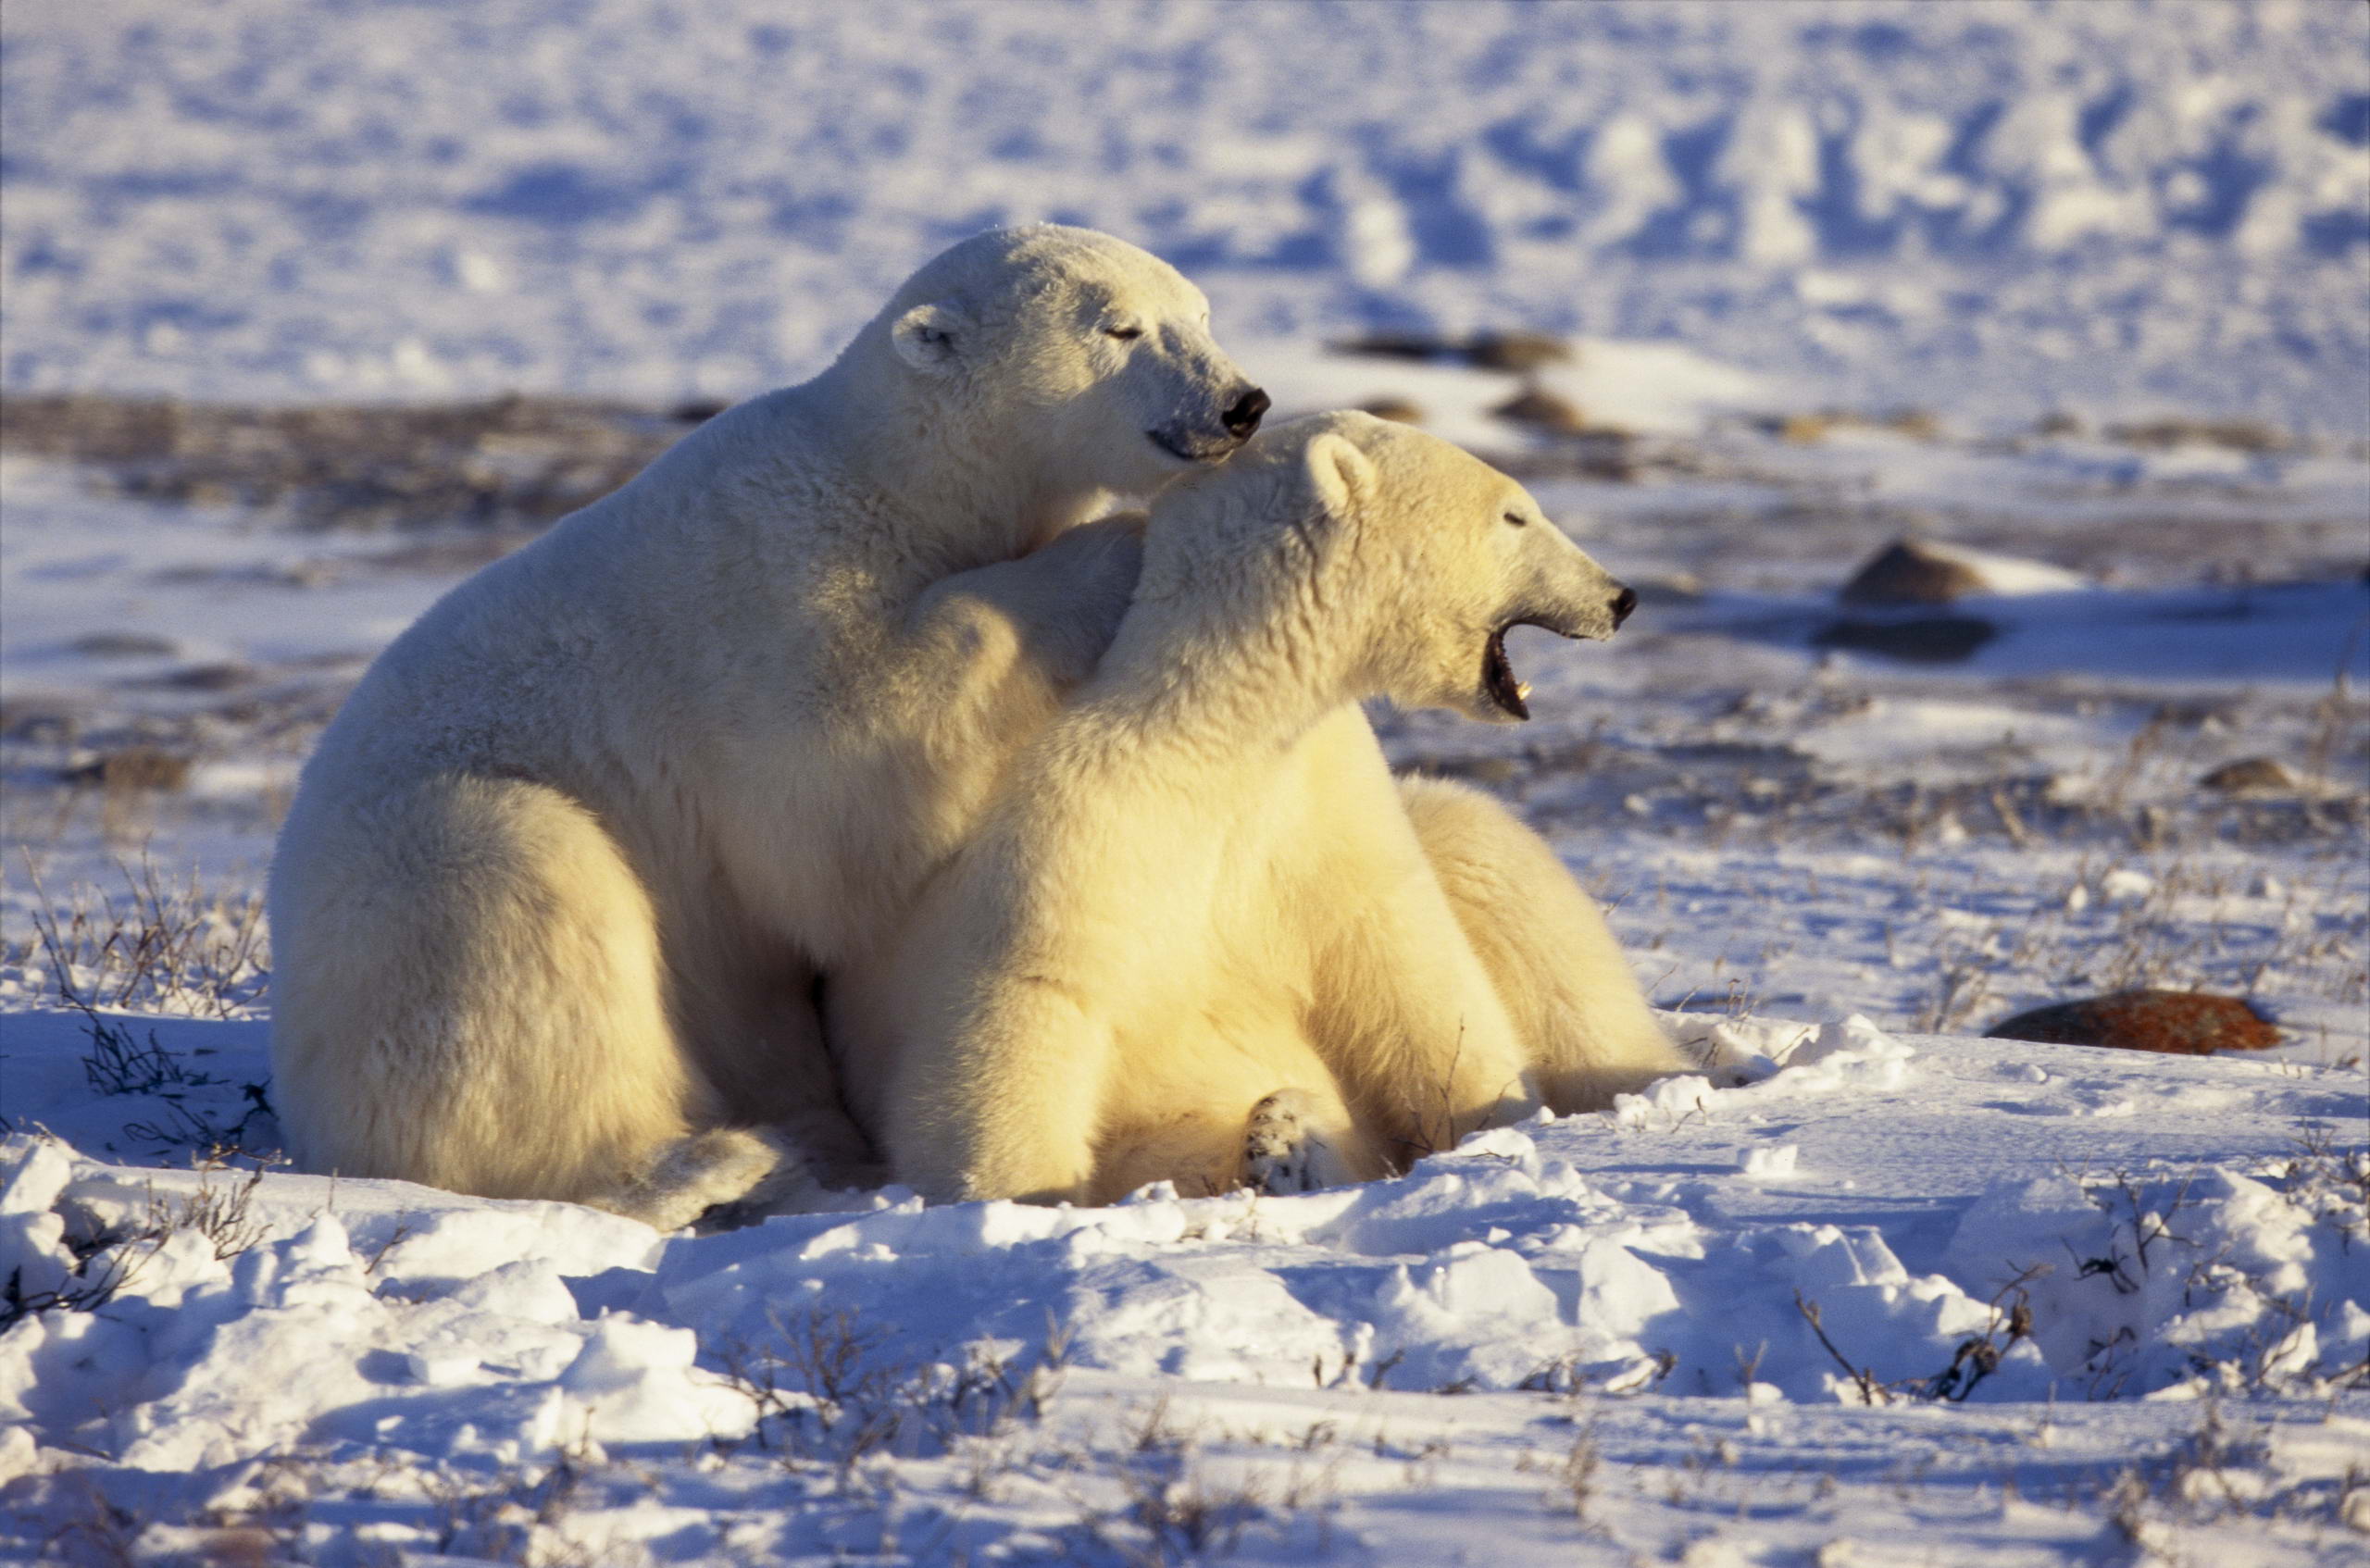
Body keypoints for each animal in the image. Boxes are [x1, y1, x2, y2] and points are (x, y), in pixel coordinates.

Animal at [261, 227, 1270, 1231]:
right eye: (1120, 327)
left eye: (1200, 313)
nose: (1241, 405)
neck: (893, 480)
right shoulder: (781, 587)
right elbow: (835, 785)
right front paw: (1117, 550)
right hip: (418, 871)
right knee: (519, 907)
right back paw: (708, 1160)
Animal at [834, 414, 1687, 1202]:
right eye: (1515, 515)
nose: (1621, 597)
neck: (1214, 731)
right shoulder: (1075, 831)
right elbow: (1024, 1005)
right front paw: (1024, 1195)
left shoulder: (1324, 809)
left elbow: (1412, 974)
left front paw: (1493, 1124)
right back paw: (1283, 1144)